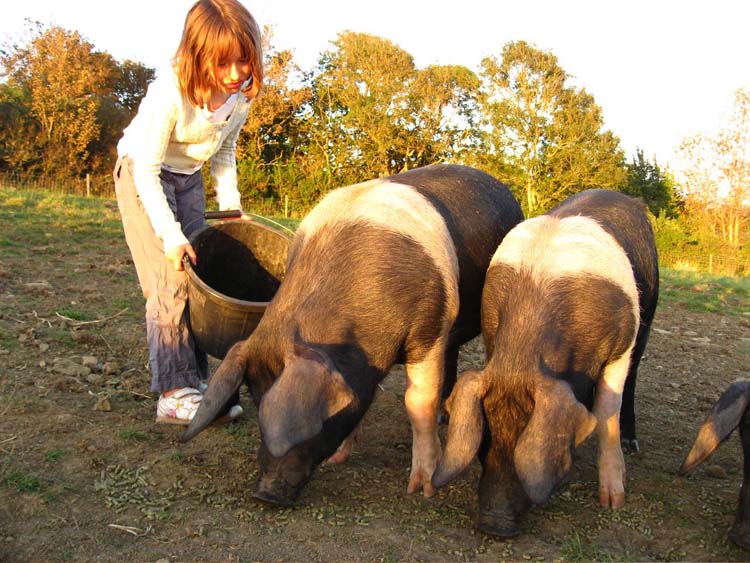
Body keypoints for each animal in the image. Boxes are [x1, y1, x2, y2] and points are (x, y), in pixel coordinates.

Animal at [180, 163, 524, 506]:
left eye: (310, 419)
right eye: (257, 400)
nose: (266, 495)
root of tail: (497, 184)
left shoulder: (429, 333)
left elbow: (418, 404)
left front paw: (422, 488)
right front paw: (339, 459)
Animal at [432, 188, 660, 536]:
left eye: (525, 446)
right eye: (483, 443)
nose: (495, 526)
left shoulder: (621, 346)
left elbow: (608, 410)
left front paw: (612, 500)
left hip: (648, 315)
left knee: (632, 380)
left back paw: (631, 441)